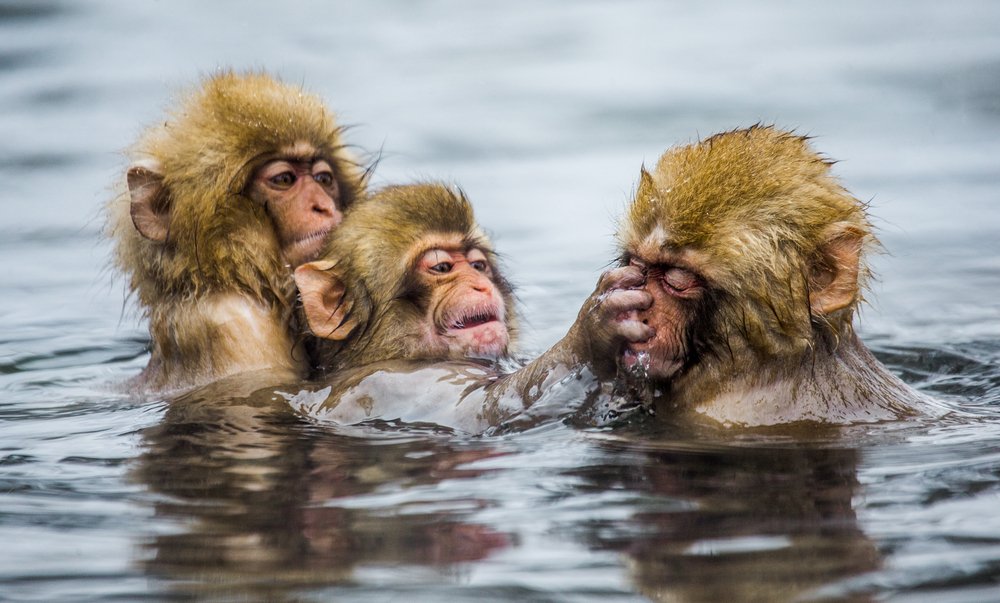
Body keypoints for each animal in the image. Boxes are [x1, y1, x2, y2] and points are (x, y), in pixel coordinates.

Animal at [293, 182, 654, 433]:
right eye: (441, 267)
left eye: (478, 266)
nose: (482, 285)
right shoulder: (389, 382)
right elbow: (482, 409)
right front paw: (591, 332)